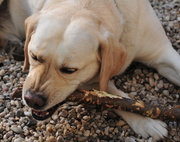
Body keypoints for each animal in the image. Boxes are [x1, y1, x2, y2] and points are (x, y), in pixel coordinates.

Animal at [0, 0, 179, 140]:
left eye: (70, 70)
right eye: (34, 56)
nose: (32, 100)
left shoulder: (162, 52)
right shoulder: (91, 81)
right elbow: (116, 95)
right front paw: (147, 122)